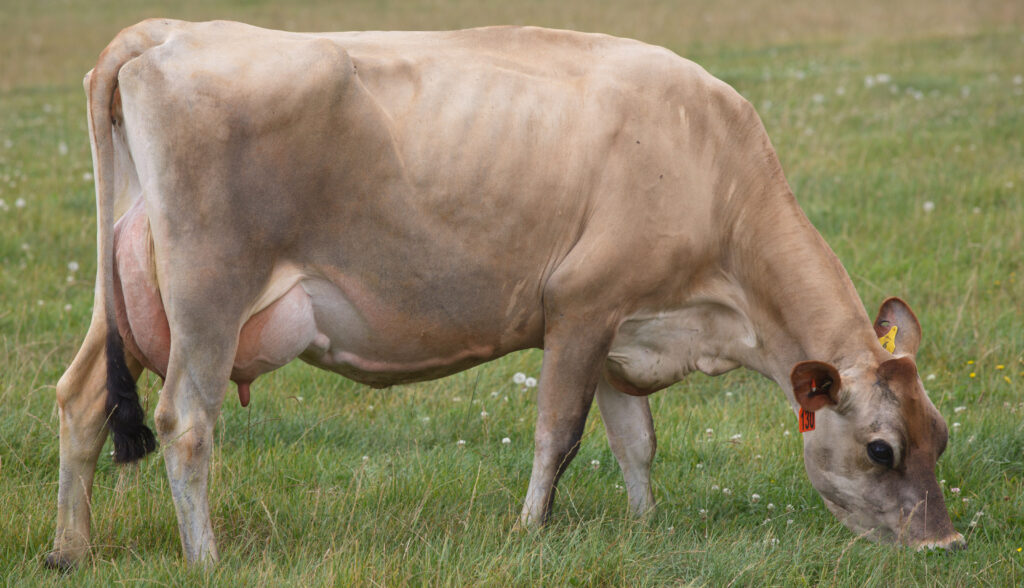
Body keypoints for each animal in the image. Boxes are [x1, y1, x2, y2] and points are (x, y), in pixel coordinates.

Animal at [48, 20, 962, 569]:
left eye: (943, 437)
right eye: (880, 449)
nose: (946, 544)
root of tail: (167, 31)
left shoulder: (621, 328)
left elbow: (637, 441)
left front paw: (646, 527)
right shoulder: (581, 308)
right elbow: (559, 434)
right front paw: (530, 529)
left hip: (124, 298)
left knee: (81, 397)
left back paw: (70, 549)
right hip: (209, 291)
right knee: (185, 422)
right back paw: (204, 558)